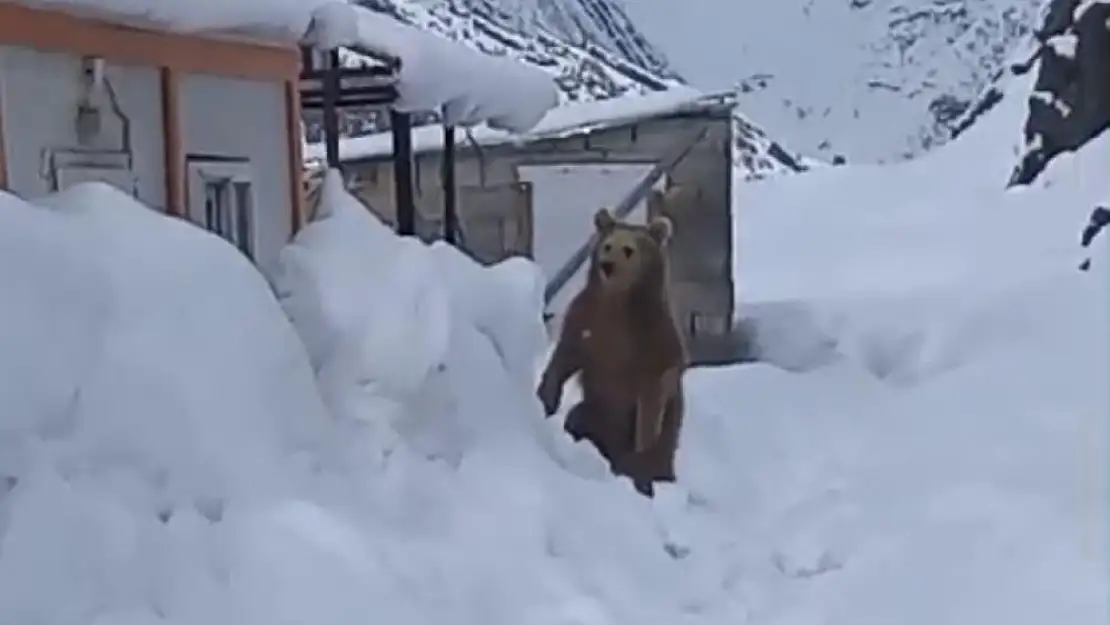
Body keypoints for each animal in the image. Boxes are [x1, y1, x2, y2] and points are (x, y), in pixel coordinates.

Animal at [535, 206, 683, 499]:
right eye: (607, 245)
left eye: (628, 249)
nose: (607, 265)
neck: (618, 303)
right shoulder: (586, 321)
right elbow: (565, 356)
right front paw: (546, 397)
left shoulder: (653, 342)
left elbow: (652, 398)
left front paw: (640, 456)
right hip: (596, 412)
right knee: (578, 418)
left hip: (664, 439)